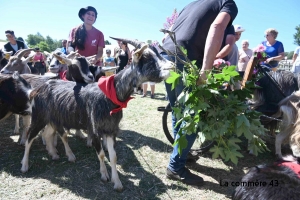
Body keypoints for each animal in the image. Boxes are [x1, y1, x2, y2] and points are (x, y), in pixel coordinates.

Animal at [20, 37, 173, 191]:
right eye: (146, 57)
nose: (172, 66)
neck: (108, 96)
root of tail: (38, 89)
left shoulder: (111, 130)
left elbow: (113, 156)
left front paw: (117, 183)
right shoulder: (94, 129)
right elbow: (101, 154)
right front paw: (104, 175)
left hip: (53, 119)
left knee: (47, 134)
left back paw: (54, 154)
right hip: (39, 117)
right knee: (30, 137)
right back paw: (24, 165)